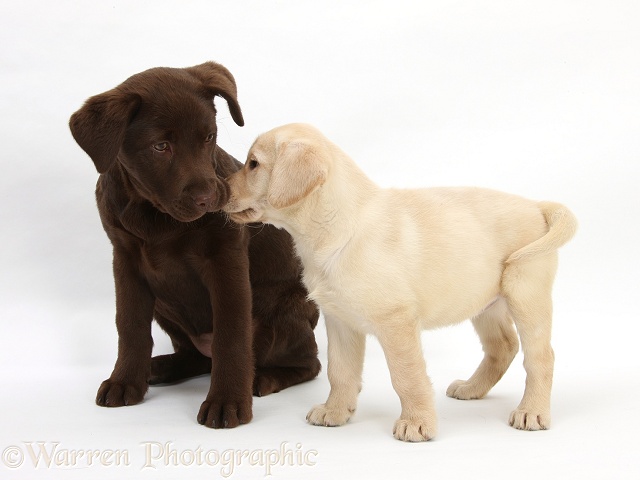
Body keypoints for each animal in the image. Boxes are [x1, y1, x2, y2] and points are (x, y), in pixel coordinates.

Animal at [222, 124, 576, 442]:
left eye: (253, 164)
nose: (221, 189)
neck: (336, 228)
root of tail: (536, 205)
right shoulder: (339, 321)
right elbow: (340, 372)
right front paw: (335, 411)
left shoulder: (396, 321)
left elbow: (407, 377)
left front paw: (417, 423)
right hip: (485, 302)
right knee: (503, 347)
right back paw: (471, 388)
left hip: (526, 295)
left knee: (540, 356)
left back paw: (532, 411)